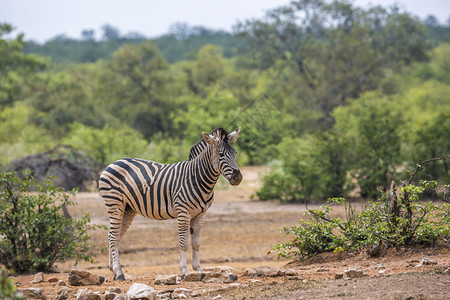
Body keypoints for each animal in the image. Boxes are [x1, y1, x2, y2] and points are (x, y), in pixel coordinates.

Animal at [97, 127, 241, 280]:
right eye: (221, 154)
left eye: (235, 153)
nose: (238, 177)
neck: (197, 178)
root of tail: (113, 162)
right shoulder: (183, 212)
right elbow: (184, 243)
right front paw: (184, 271)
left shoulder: (201, 215)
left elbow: (196, 243)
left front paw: (198, 269)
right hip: (115, 204)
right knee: (113, 236)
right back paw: (119, 272)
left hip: (128, 209)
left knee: (114, 236)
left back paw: (113, 270)